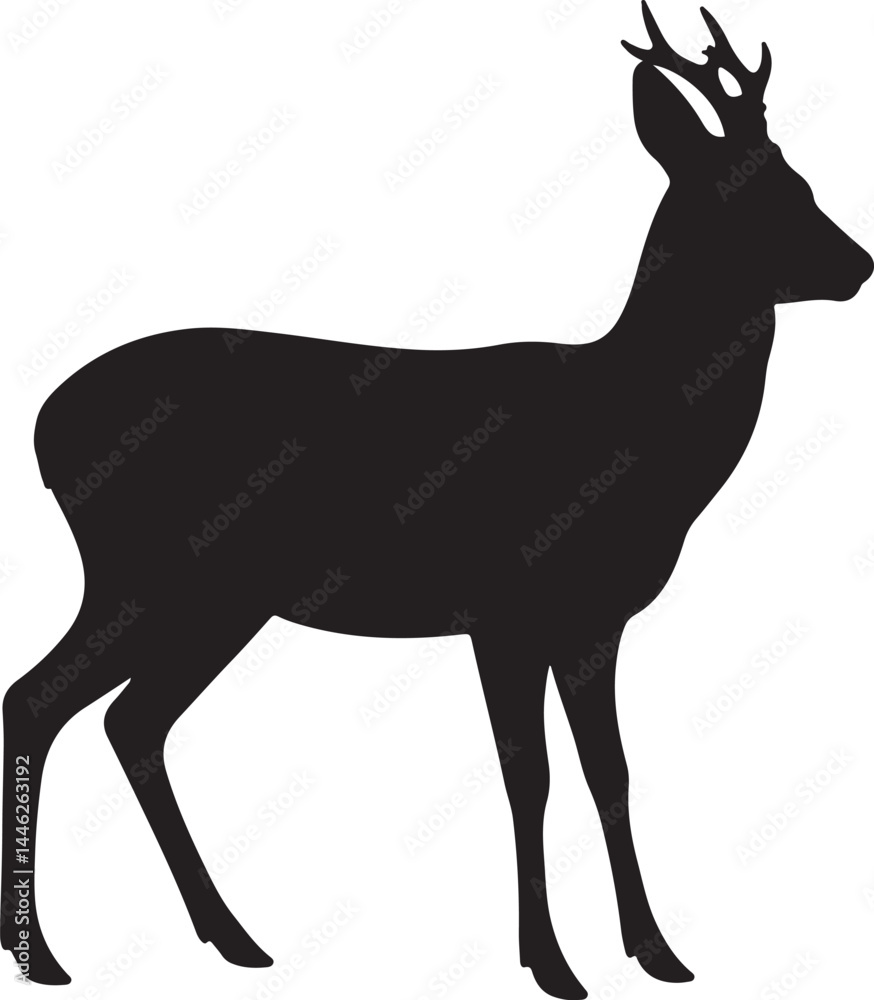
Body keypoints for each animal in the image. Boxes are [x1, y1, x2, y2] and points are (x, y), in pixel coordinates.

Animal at [2, 3, 871, 997]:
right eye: (750, 194)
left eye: (799, 180)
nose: (859, 265)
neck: (631, 428)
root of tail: (43, 427)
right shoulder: (503, 606)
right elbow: (529, 775)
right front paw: (551, 964)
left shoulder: (595, 618)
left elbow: (608, 770)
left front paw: (657, 952)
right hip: (145, 572)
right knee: (41, 699)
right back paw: (47, 955)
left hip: (216, 596)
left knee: (128, 719)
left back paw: (230, 937)